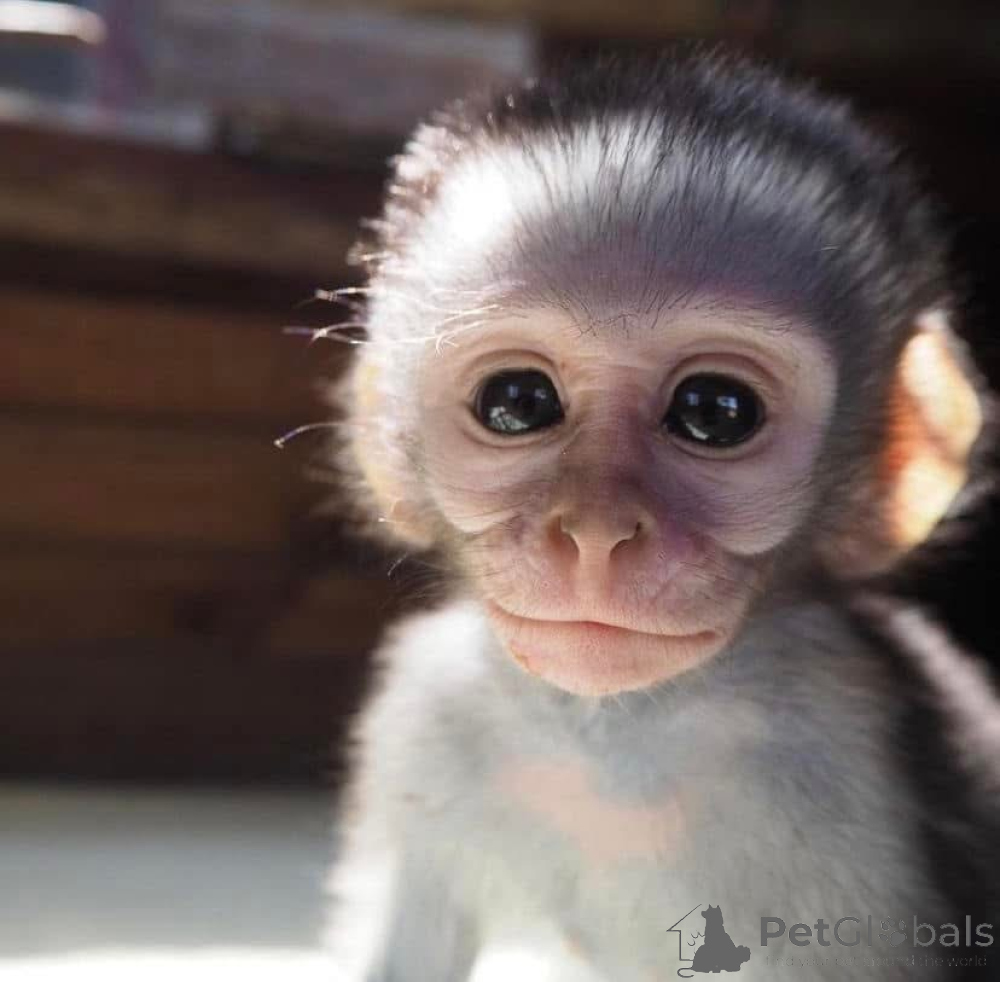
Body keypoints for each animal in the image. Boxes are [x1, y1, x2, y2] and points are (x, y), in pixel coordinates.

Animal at [323, 48, 1000, 981]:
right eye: (517, 402)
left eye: (715, 410)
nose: (595, 533)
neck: (616, 730)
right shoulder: (432, 703)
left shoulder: (851, 741)